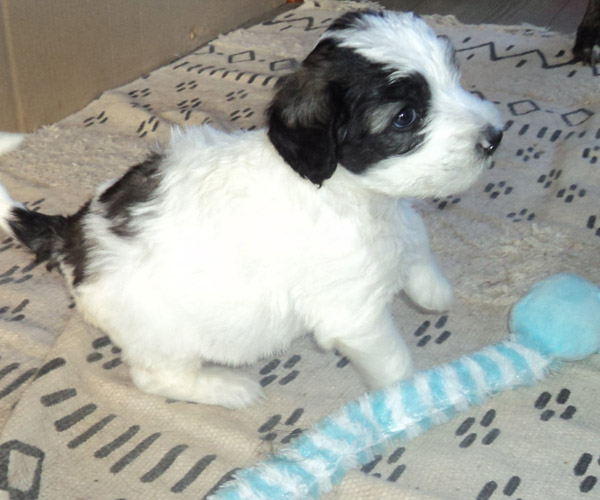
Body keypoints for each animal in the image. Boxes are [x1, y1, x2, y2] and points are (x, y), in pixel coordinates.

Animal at [0, 10, 503, 409]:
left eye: (454, 78)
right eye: (405, 117)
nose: (495, 136)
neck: (341, 191)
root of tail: (72, 235)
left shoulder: (393, 224)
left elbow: (415, 236)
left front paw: (433, 291)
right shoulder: (355, 315)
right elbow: (394, 363)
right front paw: (412, 397)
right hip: (163, 337)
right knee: (155, 377)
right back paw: (228, 388)